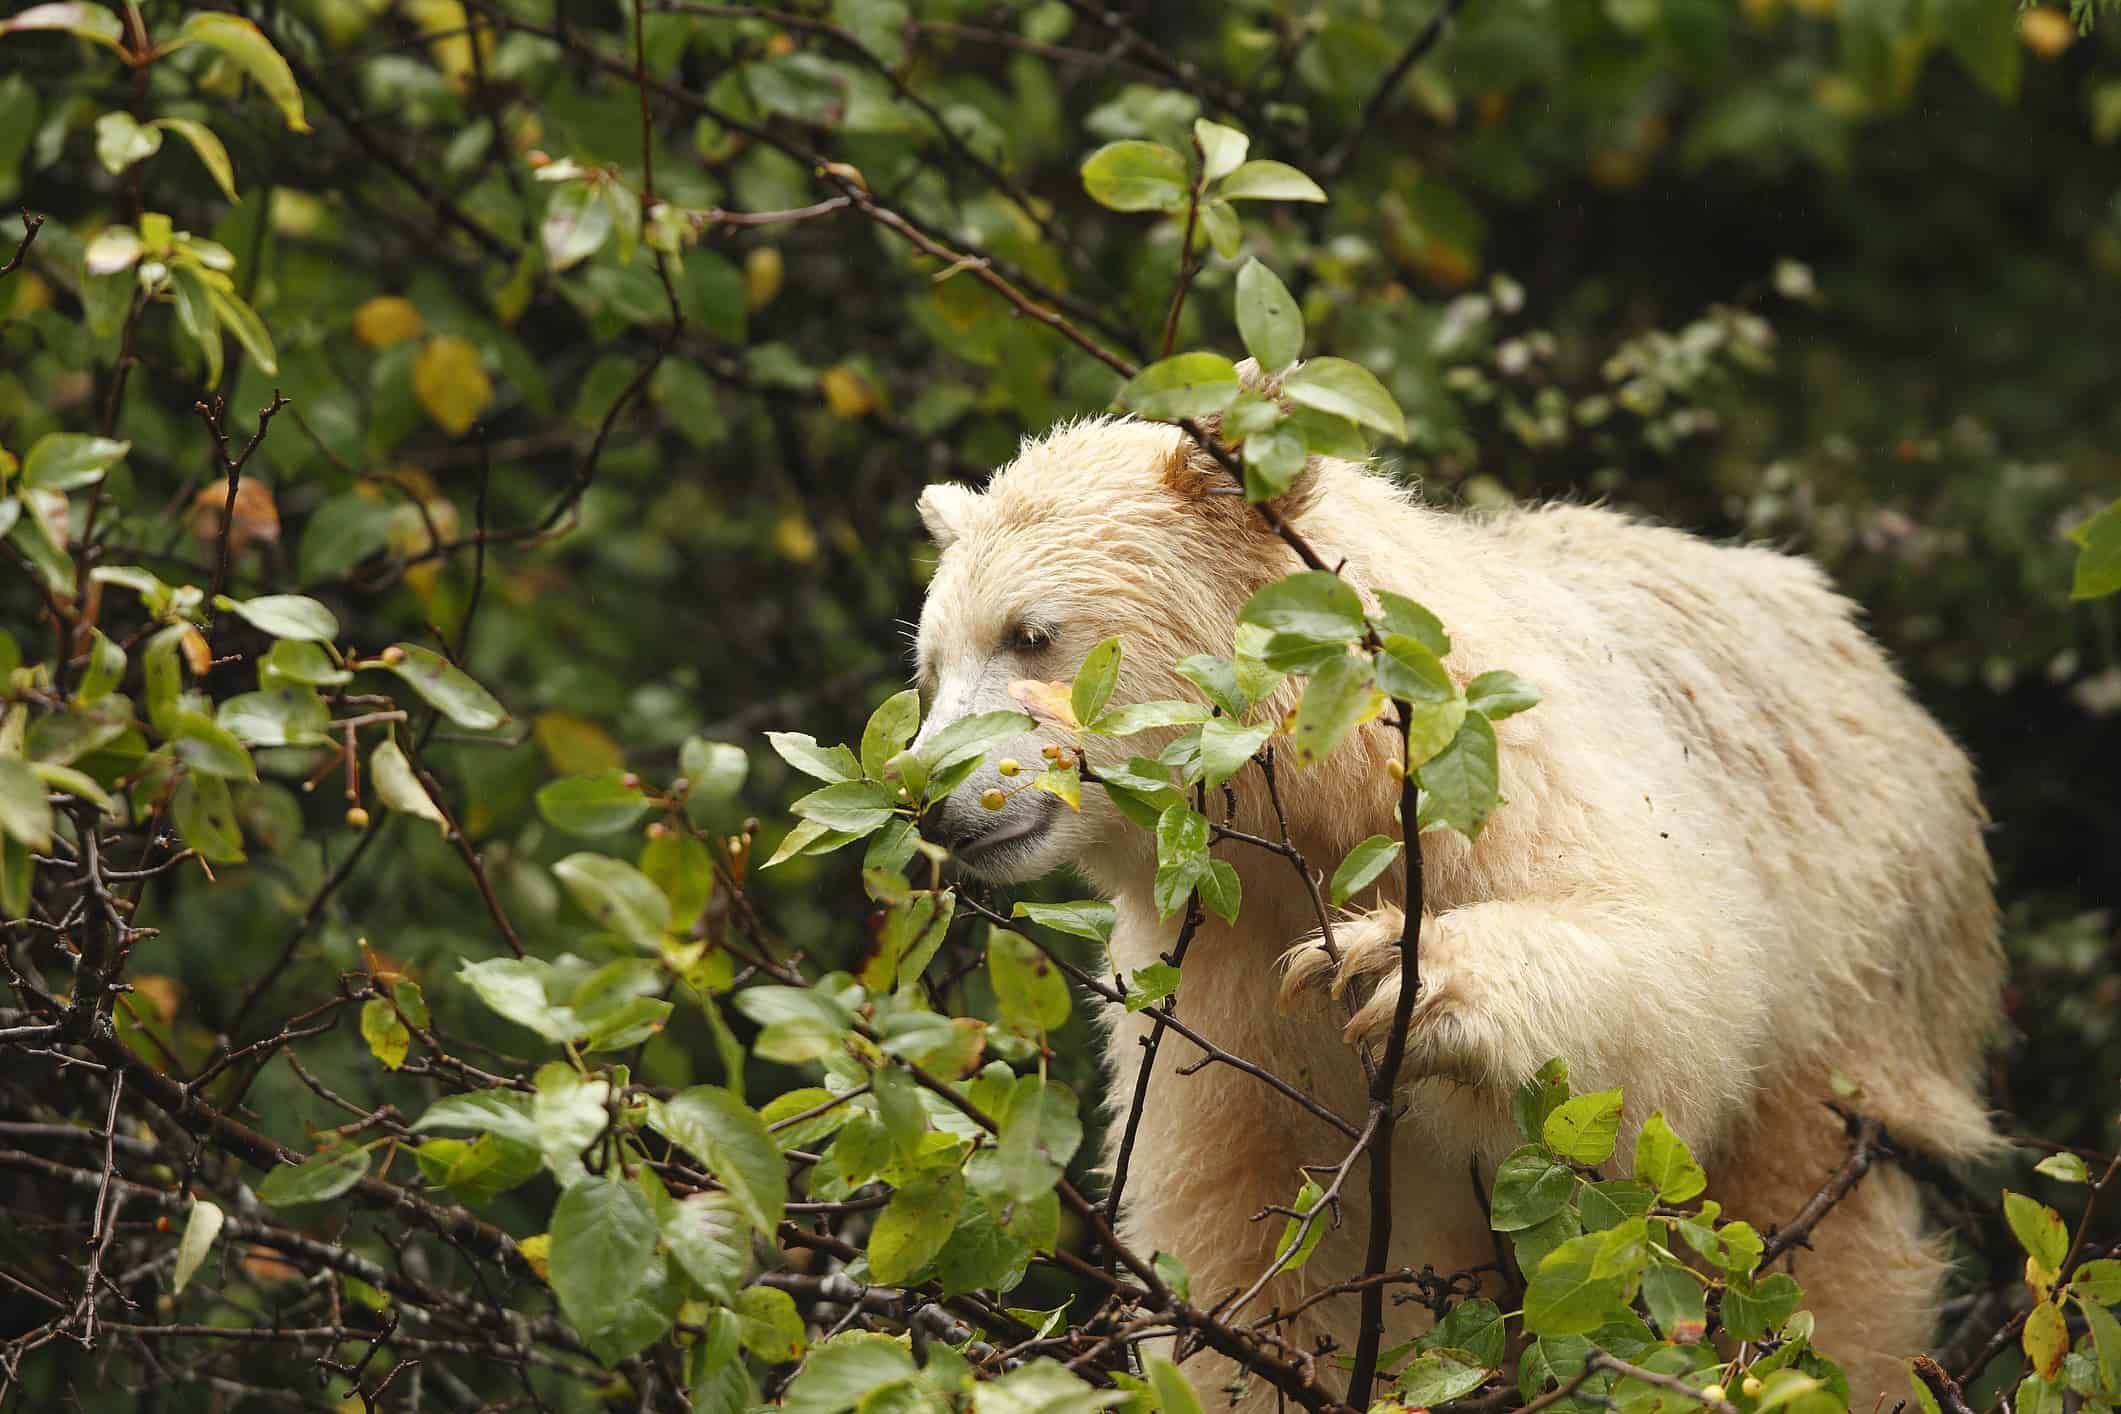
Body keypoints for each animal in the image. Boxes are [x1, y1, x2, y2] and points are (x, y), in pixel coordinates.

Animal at [905, 409, 2003, 1410]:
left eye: (1031, 633)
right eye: (929, 666)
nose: (930, 796)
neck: (1324, 793)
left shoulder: (1491, 759)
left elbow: (1666, 965)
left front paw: (1401, 972)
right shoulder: (1213, 975)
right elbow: (1255, 1225)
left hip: (1857, 967)